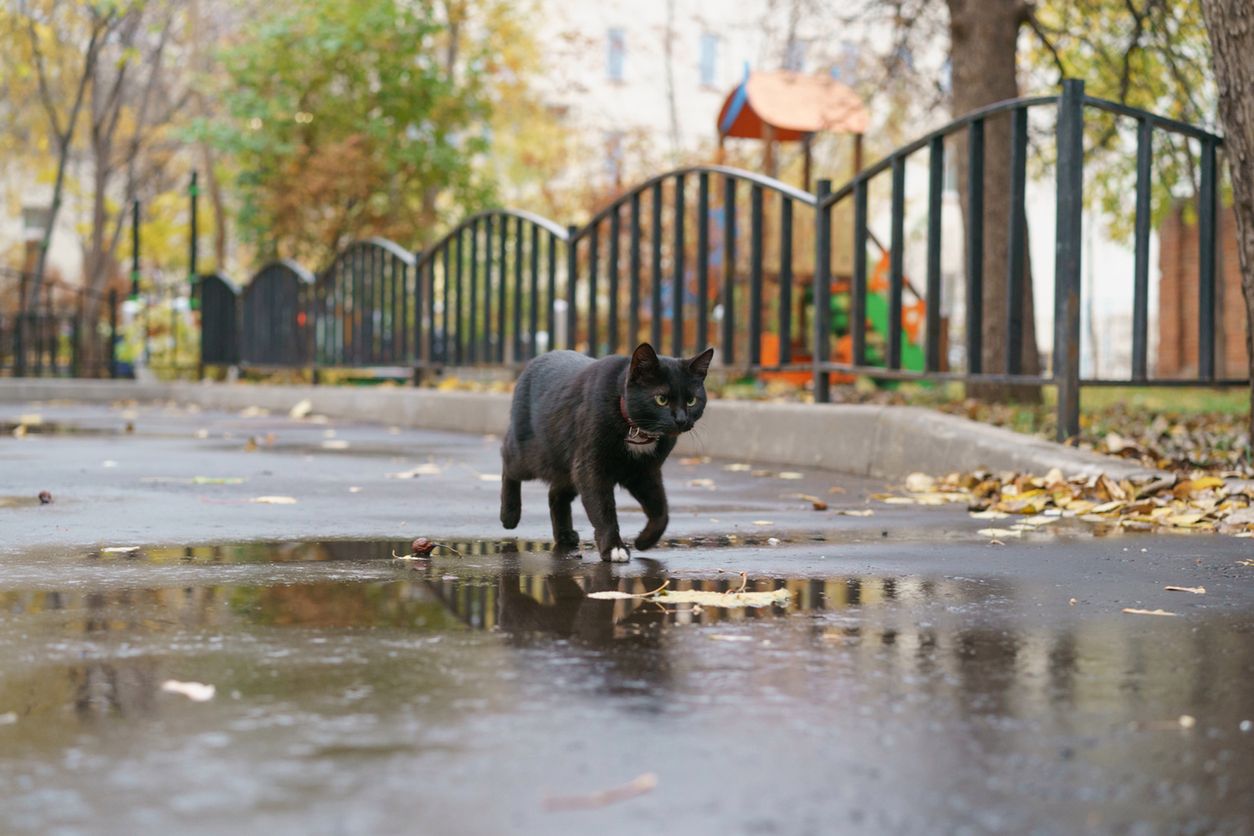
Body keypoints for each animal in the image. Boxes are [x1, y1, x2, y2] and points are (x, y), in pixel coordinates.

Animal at [499, 343, 717, 566]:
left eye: (691, 400)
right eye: (661, 399)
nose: (681, 420)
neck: (636, 430)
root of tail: (535, 360)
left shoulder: (645, 473)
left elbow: (660, 510)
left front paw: (644, 541)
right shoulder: (590, 468)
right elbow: (603, 508)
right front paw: (614, 548)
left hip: (568, 465)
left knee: (556, 493)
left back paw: (565, 535)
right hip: (533, 455)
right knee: (508, 463)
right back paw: (509, 515)